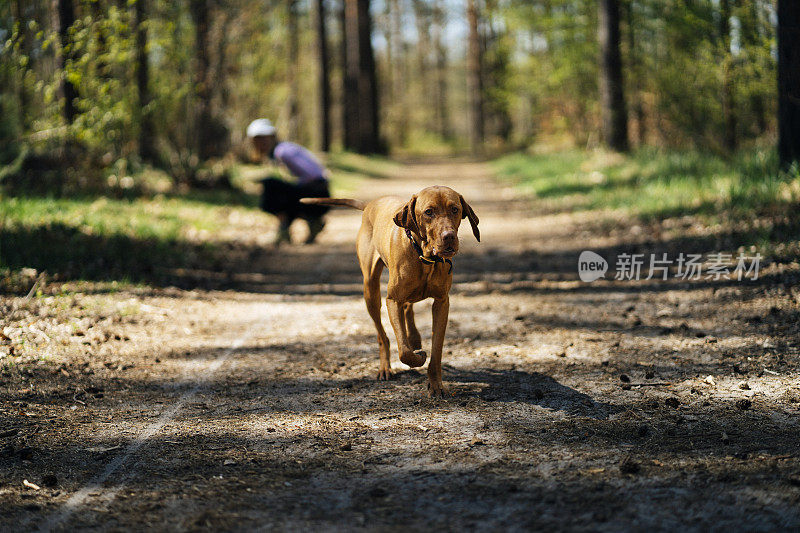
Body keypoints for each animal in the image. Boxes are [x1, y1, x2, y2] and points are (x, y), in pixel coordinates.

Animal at [302, 187, 478, 394]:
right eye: (429, 212)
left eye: (455, 209)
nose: (449, 236)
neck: (423, 256)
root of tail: (370, 204)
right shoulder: (392, 300)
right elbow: (404, 351)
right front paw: (418, 357)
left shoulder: (442, 302)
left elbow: (436, 350)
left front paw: (436, 384)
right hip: (370, 291)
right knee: (383, 335)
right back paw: (386, 367)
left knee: (408, 308)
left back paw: (414, 338)